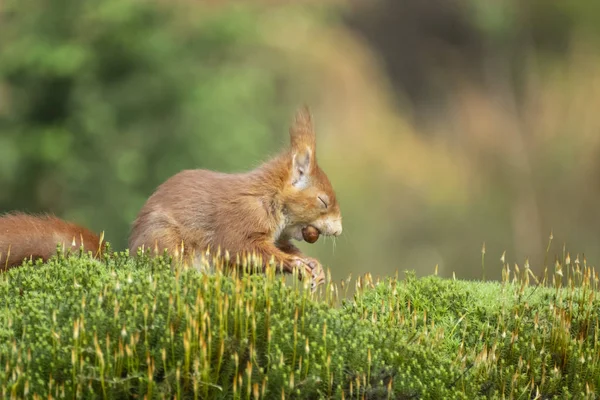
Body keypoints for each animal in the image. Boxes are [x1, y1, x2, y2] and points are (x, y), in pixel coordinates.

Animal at [0, 106, 342, 288]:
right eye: (323, 201)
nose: (338, 230)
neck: (269, 198)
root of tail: (132, 260)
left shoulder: (277, 234)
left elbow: (279, 246)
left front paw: (312, 265)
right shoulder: (240, 217)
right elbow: (244, 248)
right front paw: (295, 264)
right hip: (168, 245)